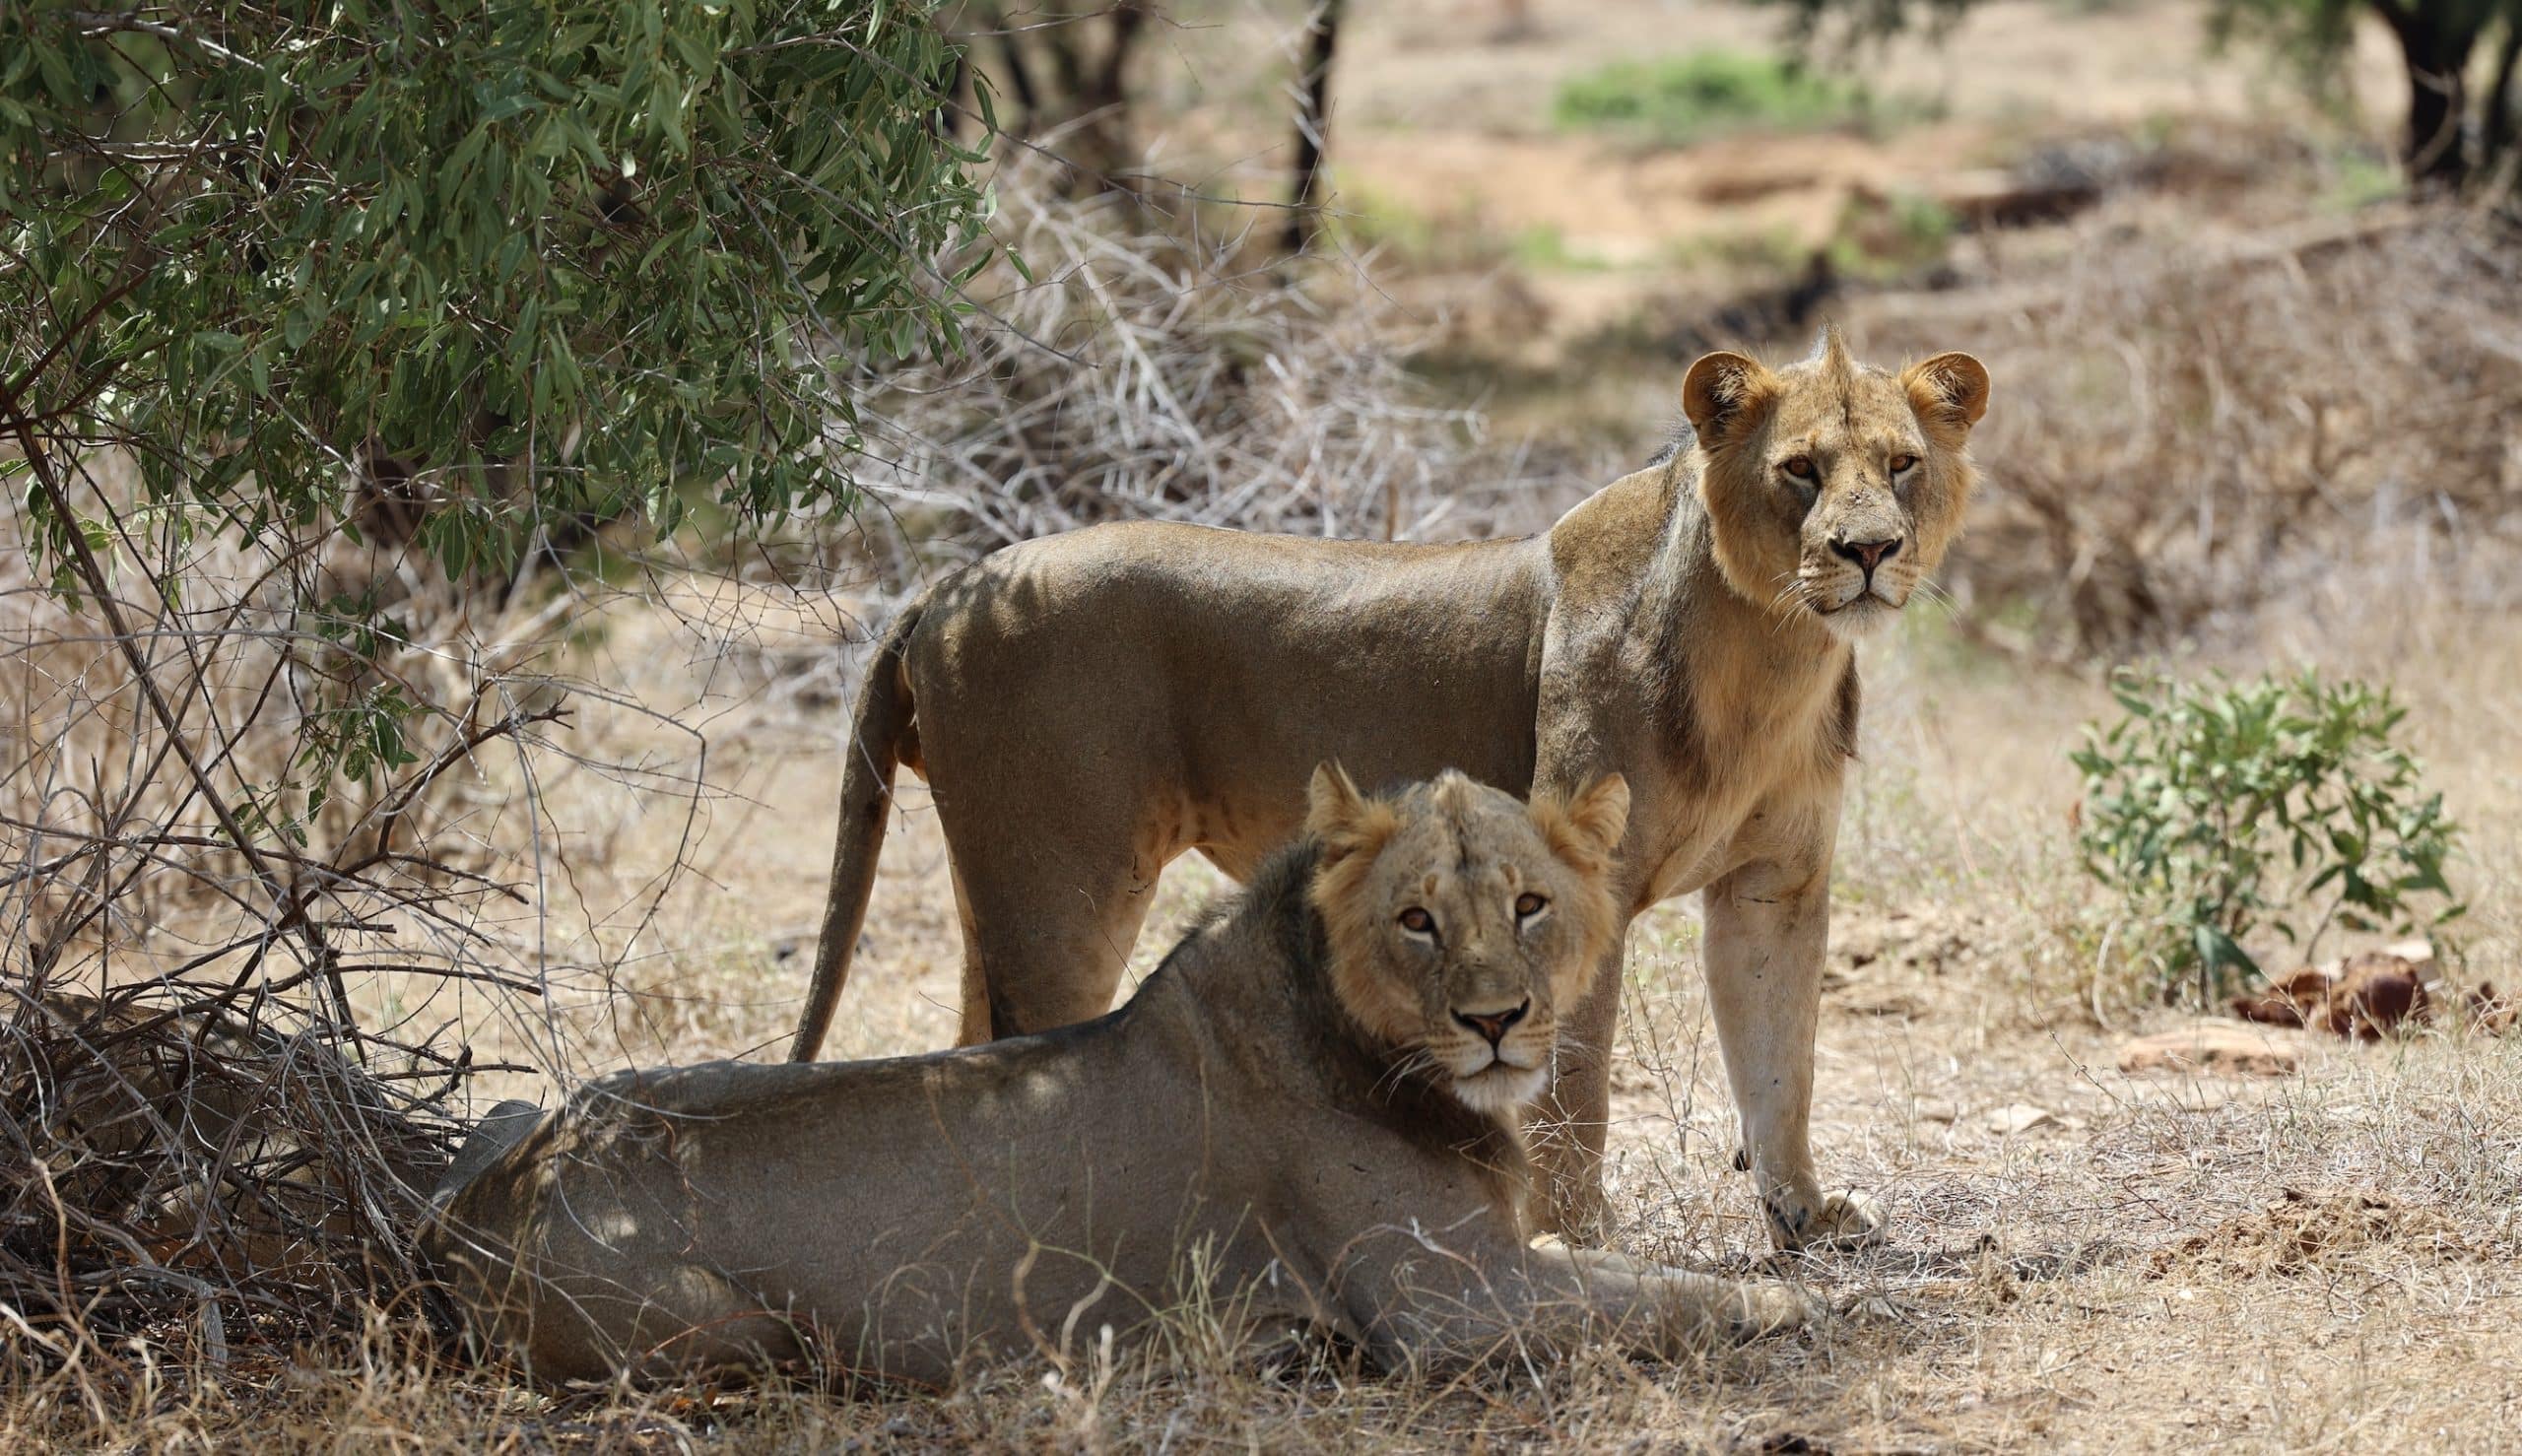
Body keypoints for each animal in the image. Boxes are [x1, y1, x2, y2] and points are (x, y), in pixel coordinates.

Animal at [420, 770, 1818, 1384]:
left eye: (1529, 903)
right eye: (1416, 919)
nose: (1496, 1020)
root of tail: (481, 1198)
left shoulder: (1484, 1269)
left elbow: (1614, 1269)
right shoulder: (1446, 1305)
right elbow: (1650, 1293)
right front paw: (1780, 1302)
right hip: (737, 1330)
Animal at [791, 326, 1990, 1247]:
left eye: (1900, 463)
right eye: (1800, 469)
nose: (1869, 550)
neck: (1771, 646)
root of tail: (945, 587)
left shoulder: (1774, 888)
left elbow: (1781, 1060)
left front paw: (1806, 1217)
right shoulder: (1578, 886)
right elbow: (1577, 1089)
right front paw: (1575, 1237)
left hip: (991, 892)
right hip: (1061, 897)